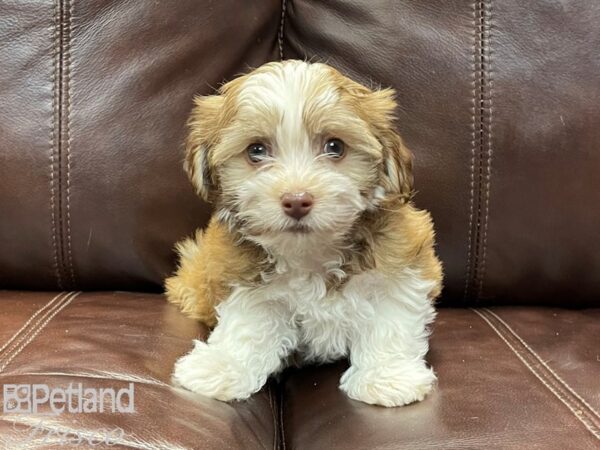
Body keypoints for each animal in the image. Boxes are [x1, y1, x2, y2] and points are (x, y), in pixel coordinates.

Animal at [166, 60, 442, 408]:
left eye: (335, 146)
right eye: (256, 150)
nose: (296, 200)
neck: (310, 252)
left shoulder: (401, 263)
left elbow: (391, 318)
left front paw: (388, 377)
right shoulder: (241, 276)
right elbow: (248, 326)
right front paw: (223, 366)